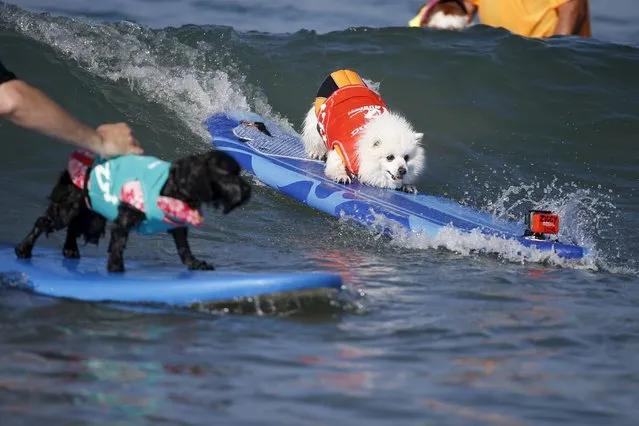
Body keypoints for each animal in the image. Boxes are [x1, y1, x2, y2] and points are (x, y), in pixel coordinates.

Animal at [15, 149, 252, 272]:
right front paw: (116, 268)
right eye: (230, 174)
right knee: (43, 222)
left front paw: (194, 264)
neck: (175, 185)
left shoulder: (177, 226)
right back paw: (24, 249)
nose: (248, 191)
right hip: (68, 209)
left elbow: (184, 248)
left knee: (73, 227)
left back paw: (70, 250)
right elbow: (118, 244)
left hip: (89, 211)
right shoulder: (125, 219)